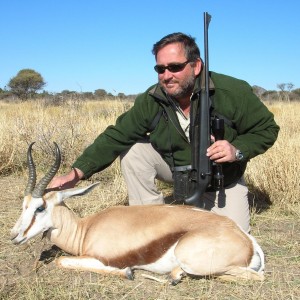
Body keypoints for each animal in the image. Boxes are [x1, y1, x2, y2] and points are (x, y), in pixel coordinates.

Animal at [11, 142, 264, 284]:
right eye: (23, 204)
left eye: (40, 207)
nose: (14, 235)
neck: (86, 230)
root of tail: (247, 240)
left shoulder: (100, 257)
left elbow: (62, 260)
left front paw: (127, 272)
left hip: (192, 260)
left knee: (254, 277)